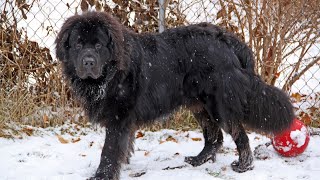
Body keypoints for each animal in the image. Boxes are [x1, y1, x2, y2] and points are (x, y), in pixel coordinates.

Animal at [55, 11, 296, 180]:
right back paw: (199, 160)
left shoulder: (119, 117)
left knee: (238, 134)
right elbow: (124, 146)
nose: (88, 62)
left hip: (218, 104)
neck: (111, 73)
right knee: (214, 137)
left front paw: (102, 175)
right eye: (78, 44)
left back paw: (244, 166)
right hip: (199, 104)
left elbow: (109, 150)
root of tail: (226, 39)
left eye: (98, 45)